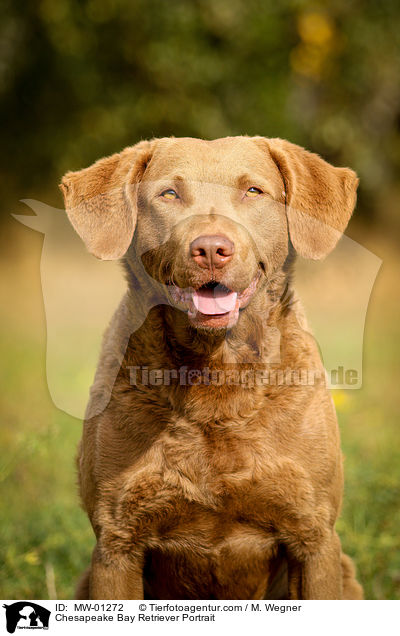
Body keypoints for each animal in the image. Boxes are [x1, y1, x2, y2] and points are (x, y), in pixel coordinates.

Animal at [61, 137, 364, 600]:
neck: (216, 379)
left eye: (253, 191)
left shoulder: (314, 537)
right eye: (169, 194)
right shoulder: (117, 542)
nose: (210, 250)